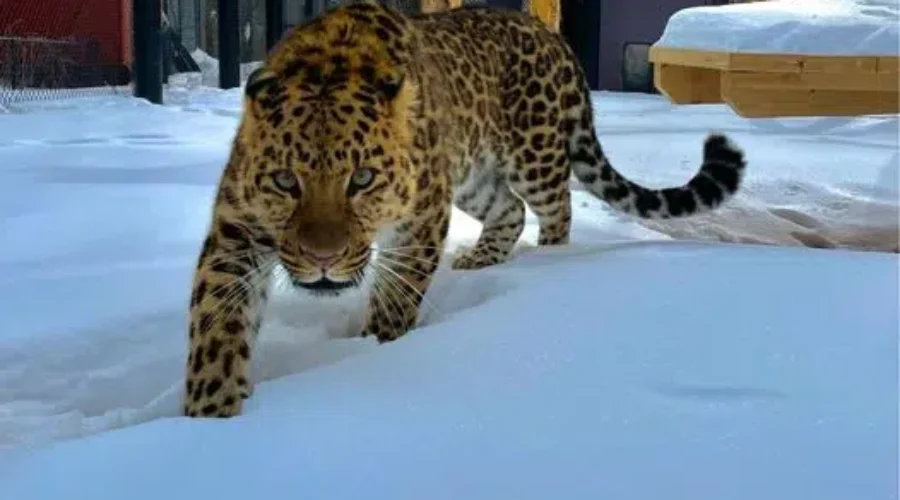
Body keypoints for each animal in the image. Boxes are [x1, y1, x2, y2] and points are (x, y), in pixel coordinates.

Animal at [183, 0, 747, 418]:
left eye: (362, 179)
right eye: (286, 181)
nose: (324, 260)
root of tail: (551, 36)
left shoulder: (420, 220)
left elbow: (395, 302)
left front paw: (368, 352)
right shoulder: (236, 227)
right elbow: (216, 322)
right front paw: (211, 414)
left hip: (533, 155)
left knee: (556, 208)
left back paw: (550, 263)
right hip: (473, 176)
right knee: (510, 210)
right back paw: (482, 260)